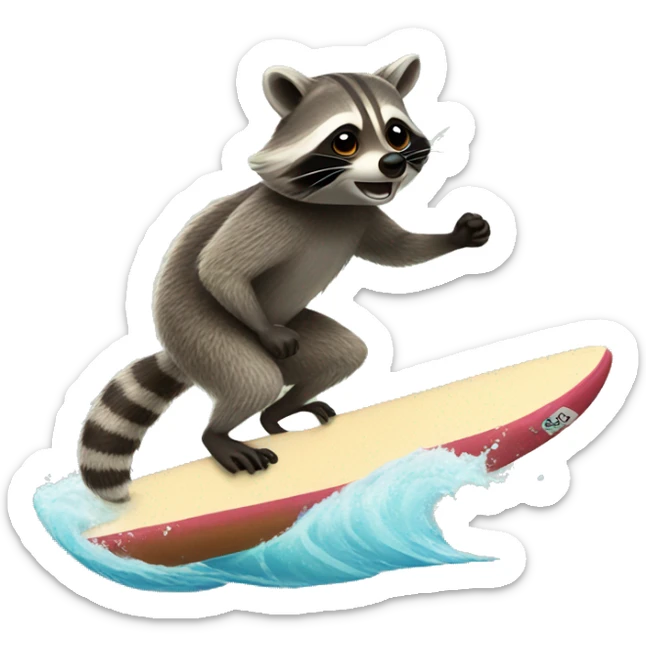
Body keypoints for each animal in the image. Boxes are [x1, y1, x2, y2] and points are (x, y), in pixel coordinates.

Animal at [78, 54, 490, 503]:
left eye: (396, 134)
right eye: (344, 141)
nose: (392, 164)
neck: (336, 201)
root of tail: (178, 354)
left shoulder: (362, 216)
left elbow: (397, 251)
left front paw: (456, 237)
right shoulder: (269, 217)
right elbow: (220, 267)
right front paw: (263, 328)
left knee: (344, 353)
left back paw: (278, 412)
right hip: (200, 331)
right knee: (254, 379)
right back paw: (218, 435)